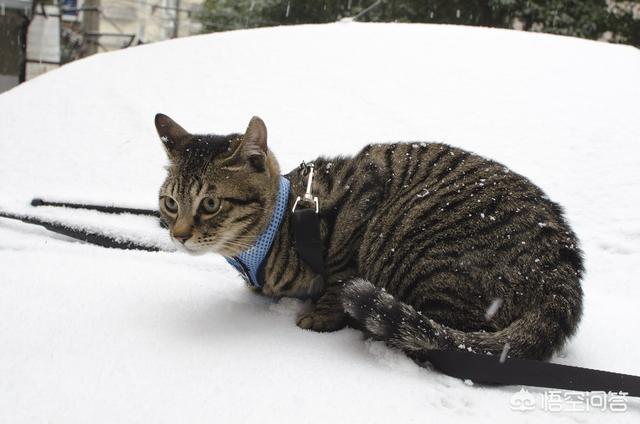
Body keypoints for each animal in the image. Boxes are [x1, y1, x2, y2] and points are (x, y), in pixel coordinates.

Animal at [156, 113, 584, 362]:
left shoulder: (361, 201)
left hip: (410, 239)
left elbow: (340, 275)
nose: (179, 235)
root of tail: (560, 271)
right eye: (170, 203)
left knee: (443, 339)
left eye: (210, 203)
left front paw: (322, 314)